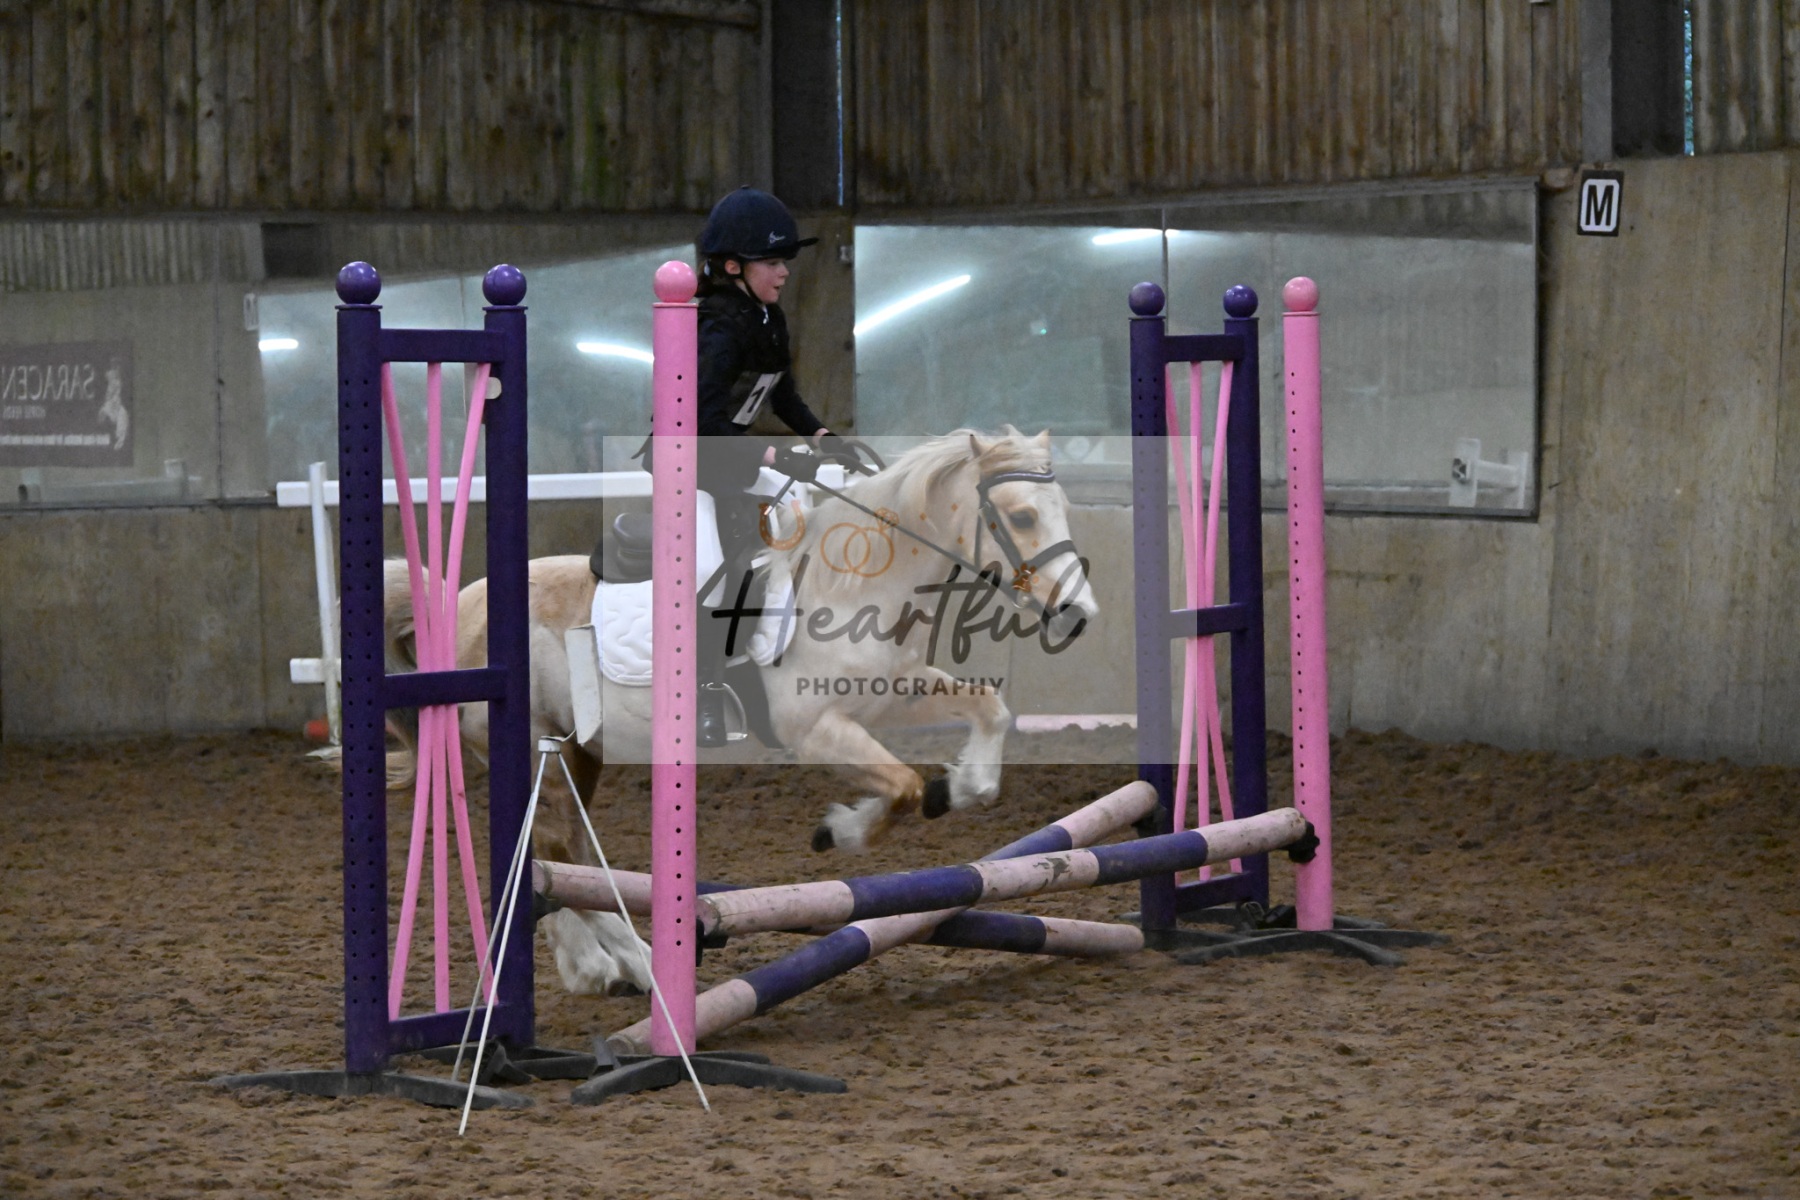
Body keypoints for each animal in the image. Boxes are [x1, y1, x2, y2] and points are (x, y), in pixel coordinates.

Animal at [383, 427, 1099, 997]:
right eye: (1021, 518)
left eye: (1061, 510)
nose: (1078, 615)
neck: (852, 583)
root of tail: (460, 605)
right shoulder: (814, 731)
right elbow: (901, 788)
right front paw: (841, 830)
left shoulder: (893, 692)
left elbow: (990, 711)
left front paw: (963, 787)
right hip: (544, 745)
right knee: (555, 848)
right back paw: (622, 965)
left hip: (580, 748)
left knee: (559, 853)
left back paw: (611, 966)